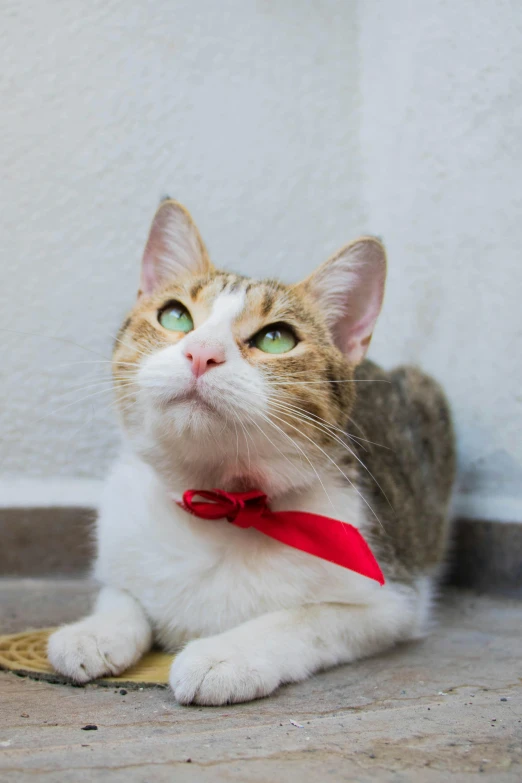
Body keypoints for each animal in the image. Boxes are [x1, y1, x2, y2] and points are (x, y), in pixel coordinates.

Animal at [48, 199, 456, 708]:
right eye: (176, 316)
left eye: (276, 338)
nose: (201, 353)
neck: (221, 505)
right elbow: (121, 593)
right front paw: (95, 631)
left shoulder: (392, 602)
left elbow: (305, 619)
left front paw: (227, 654)